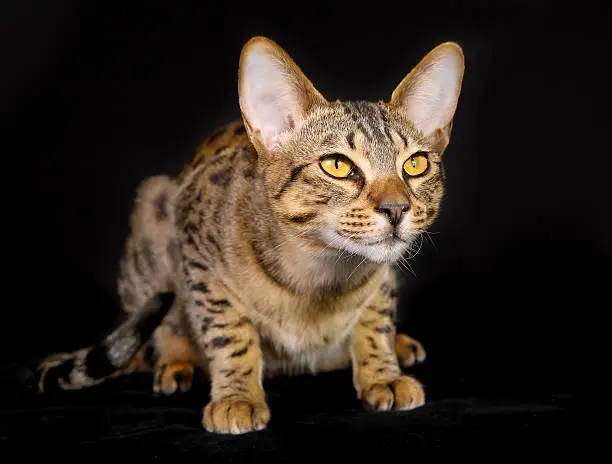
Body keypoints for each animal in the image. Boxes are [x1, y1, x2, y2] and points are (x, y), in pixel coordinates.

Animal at [34, 36, 464, 436]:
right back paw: (177, 360)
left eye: (416, 164)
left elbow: (376, 320)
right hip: (153, 209)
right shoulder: (196, 251)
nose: (396, 208)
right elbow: (229, 332)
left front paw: (382, 373)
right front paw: (237, 396)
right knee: (165, 323)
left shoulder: (384, 274)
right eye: (337, 165)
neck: (319, 275)